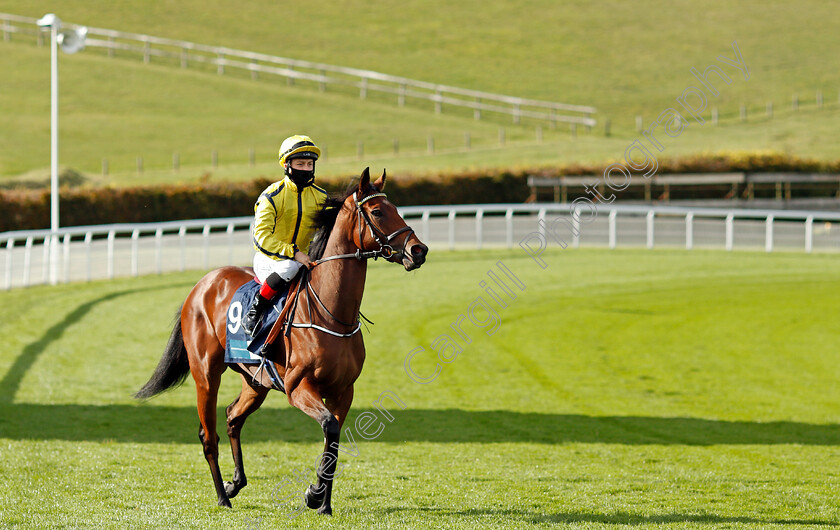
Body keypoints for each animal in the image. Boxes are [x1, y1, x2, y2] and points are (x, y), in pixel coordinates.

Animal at [137, 168, 430, 512]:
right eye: (377, 212)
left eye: (395, 208)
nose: (418, 250)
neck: (330, 312)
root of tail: (201, 285)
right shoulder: (298, 387)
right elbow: (329, 426)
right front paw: (315, 494)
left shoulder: (344, 390)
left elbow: (334, 440)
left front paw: (323, 502)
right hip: (206, 376)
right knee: (208, 436)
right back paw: (223, 496)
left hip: (256, 381)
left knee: (233, 417)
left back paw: (235, 483)